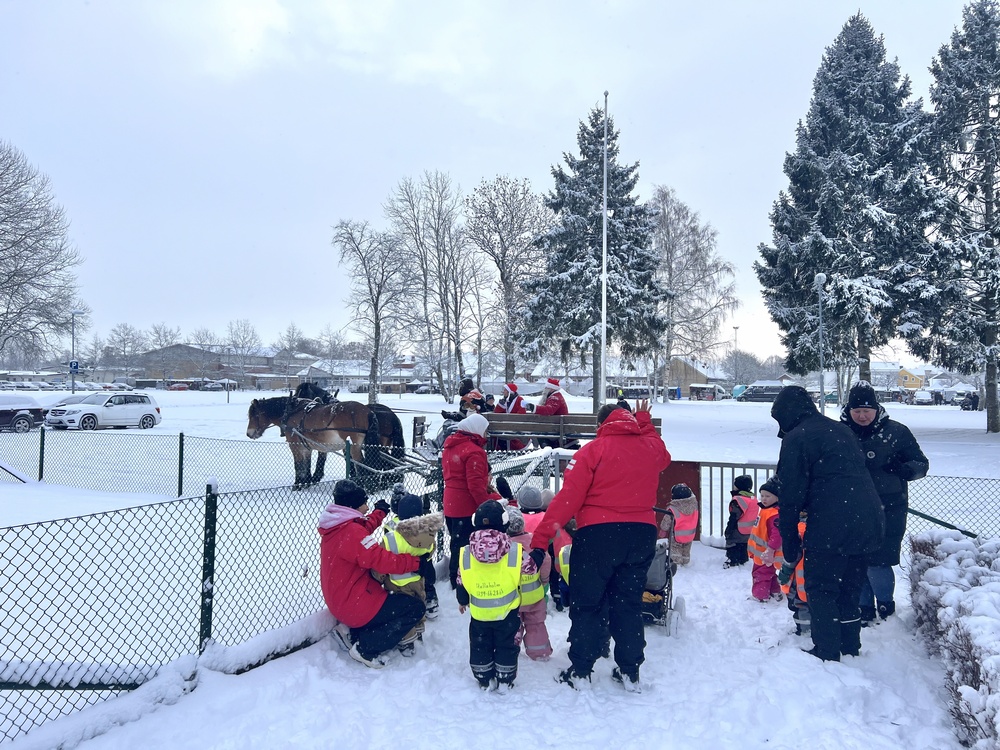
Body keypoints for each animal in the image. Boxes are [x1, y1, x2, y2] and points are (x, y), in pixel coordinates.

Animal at [246, 396, 402, 490]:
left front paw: (297, 485)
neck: (292, 412)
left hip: (356, 446)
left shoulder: (295, 446)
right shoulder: (307, 447)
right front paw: (307, 482)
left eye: (254, 415)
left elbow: (299, 466)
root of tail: (369, 411)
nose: (249, 433)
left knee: (362, 465)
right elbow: (307, 464)